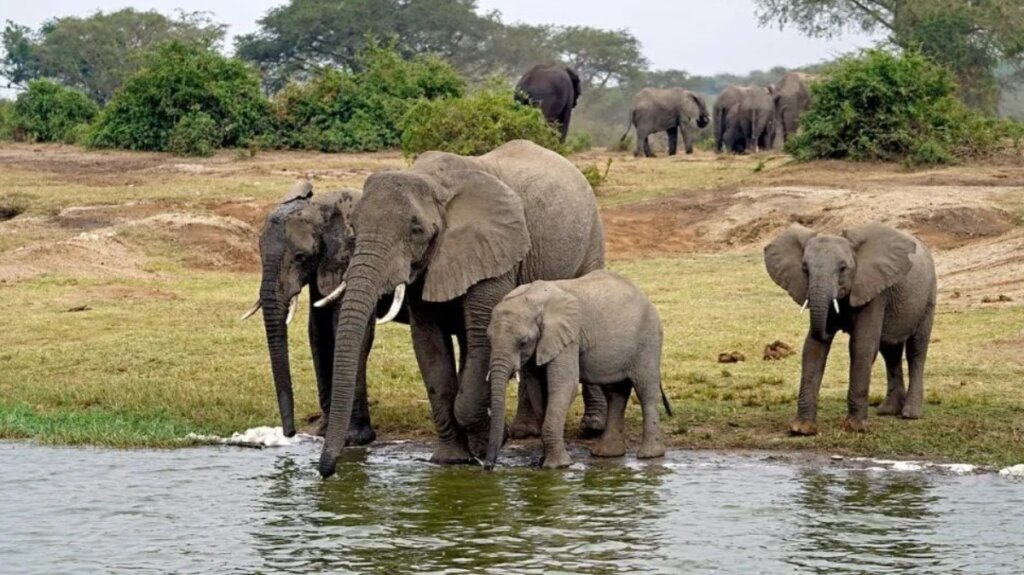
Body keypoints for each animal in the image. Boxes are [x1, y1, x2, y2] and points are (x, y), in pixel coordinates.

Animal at [242, 182, 392, 444]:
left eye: (301, 257)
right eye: (259, 255)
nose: (290, 433)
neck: (323, 207)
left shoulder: (350, 259)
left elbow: (348, 331)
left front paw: (353, 439)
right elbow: (318, 332)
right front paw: (322, 432)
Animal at [315, 140, 608, 478]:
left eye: (416, 230)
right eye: (354, 227)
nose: (327, 471)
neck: (432, 180)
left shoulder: (493, 252)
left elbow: (481, 340)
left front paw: (489, 443)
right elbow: (430, 349)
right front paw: (452, 459)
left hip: (590, 237)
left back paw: (590, 427)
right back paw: (523, 431)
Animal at [483, 271, 672, 470]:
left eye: (523, 342)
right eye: (489, 339)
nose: (487, 466)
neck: (533, 299)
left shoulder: (569, 337)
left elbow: (565, 386)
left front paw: (557, 466)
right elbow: (538, 390)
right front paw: (543, 462)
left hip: (649, 337)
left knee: (645, 391)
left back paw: (649, 455)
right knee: (615, 393)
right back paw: (606, 453)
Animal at [764, 223, 936, 435]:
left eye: (843, 268)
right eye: (804, 269)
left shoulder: (874, 291)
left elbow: (861, 346)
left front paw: (854, 428)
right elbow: (814, 348)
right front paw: (801, 429)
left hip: (928, 295)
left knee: (916, 349)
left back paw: (910, 414)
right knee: (890, 352)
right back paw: (888, 410)